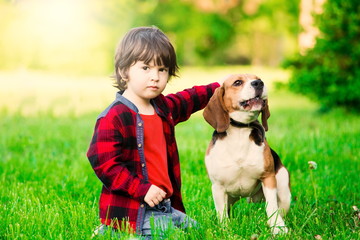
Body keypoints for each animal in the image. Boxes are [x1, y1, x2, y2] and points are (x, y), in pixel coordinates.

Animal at [204, 73, 292, 234]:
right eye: (237, 82)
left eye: (259, 78)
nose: (259, 83)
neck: (240, 129)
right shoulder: (218, 186)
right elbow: (222, 213)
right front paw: (225, 230)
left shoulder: (268, 178)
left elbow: (272, 207)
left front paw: (277, 228)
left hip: (284, 190)